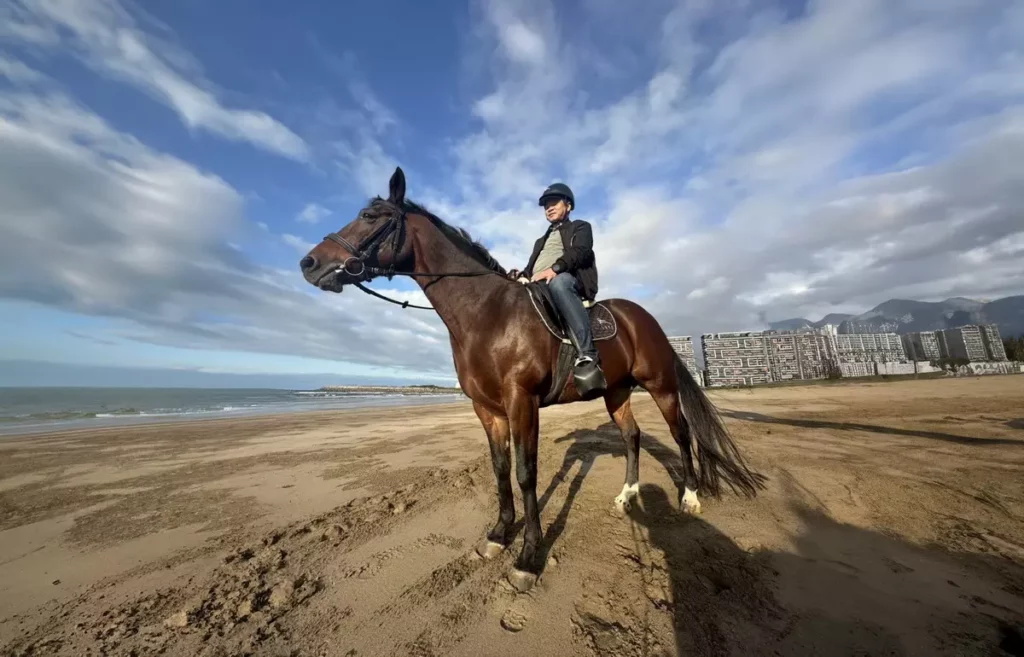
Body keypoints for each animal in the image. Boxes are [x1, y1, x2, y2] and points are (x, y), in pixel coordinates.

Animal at [299, 167, 765, 592]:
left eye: (369, 215)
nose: (308, 264)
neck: (486, 314)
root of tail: (645, 318)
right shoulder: (487, 409)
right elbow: (501, 469)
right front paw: (499, 534)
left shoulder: (521, 401)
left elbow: (526, 473)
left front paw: (528, 556)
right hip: (616, 393)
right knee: (631, 436)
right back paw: (627, 496)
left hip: (661, 386)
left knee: (682, 433)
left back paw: (690, 498)